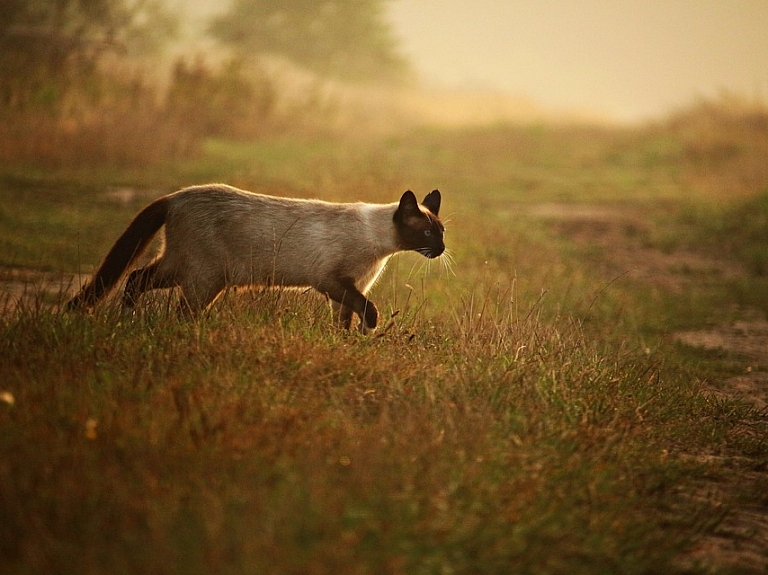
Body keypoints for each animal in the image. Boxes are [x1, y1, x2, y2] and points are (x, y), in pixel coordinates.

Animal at [70, 184, 450, 332]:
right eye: (427, 234)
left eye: (442, 232)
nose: (442, 250)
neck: (379, 244)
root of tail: (176, 196)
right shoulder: (332, 281)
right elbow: (367, 308)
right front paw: (369, 328)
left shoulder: (347, 288)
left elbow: (344, 319)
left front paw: (348, 341)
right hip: (204, 278)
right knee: (179, 310)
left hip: (180, 267)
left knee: (136, 278)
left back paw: (128, 318)